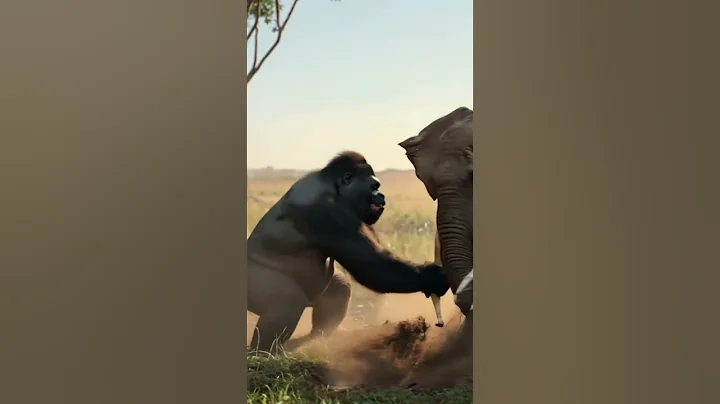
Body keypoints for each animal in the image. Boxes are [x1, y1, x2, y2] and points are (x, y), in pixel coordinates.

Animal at [247, 151, 450, 353]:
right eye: (374, 186)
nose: (382, 195)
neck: (333, 185)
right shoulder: (329, 209)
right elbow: (373, 265)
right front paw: (432, 277)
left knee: (339, 286)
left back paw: (317, 338)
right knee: (288, 300)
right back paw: (263, 352)